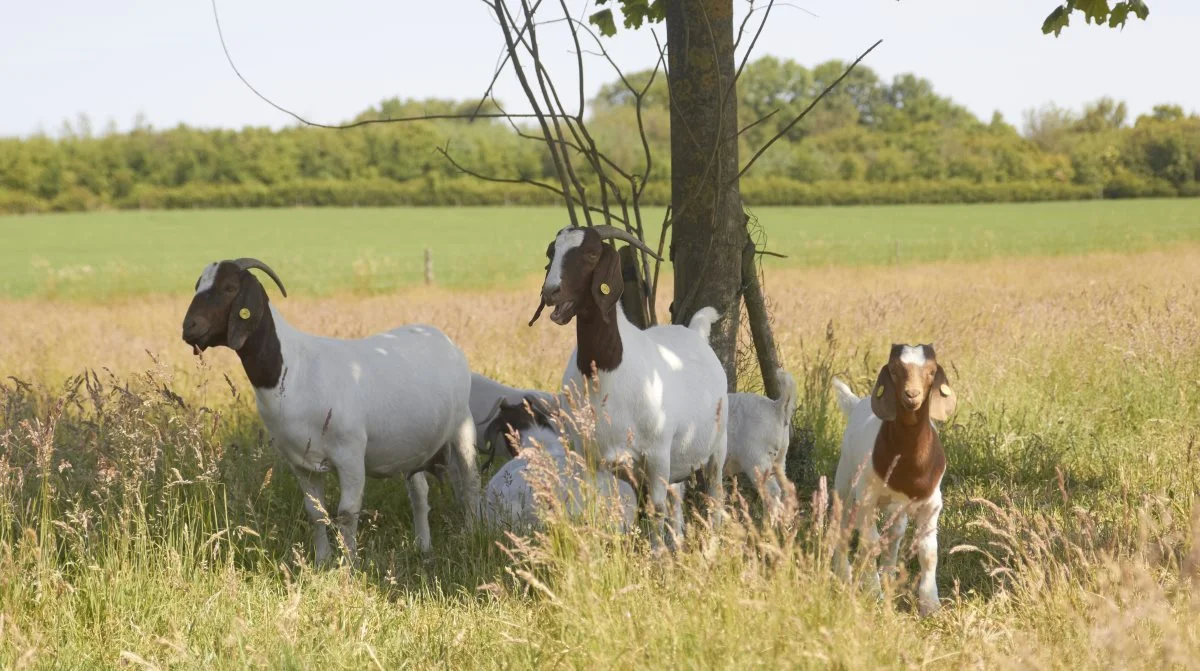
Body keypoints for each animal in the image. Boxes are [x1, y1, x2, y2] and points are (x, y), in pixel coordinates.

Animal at [180, 260, 480, 564]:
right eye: (197, 285)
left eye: (229, 287)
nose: (188, 327)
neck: (295, 369)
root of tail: (442, 337)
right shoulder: (300, 461)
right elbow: (316, 513)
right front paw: (322, 560)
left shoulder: (350, 455)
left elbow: (347, 513)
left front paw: (350, 564)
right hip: (412, 448)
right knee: (419, 492)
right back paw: (423, 545)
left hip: (463, 426)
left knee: (470, 484)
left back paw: (469, 534)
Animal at [530, 226, 724, 552]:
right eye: (550, 252)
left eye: (592, 254)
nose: (551, 292)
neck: (607, 370)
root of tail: (695, 331)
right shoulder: (592, 458)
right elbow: (600, 506)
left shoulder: (656, 454)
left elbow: (654, 509)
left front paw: (656, 556)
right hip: (675, 459)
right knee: (677, 498)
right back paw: (678, 543)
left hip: (715, 447)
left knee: (714, 494)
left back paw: (712, 547)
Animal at [720, 367, 796, 520]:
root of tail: (777, 407)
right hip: (779, 459)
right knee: (785, 490)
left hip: (757, 460)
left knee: (772, 493)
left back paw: (767, 524)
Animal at [835, 343, 955, 619]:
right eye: (893, 370)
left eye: (931, 371)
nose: (912, 395)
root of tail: (857, 404)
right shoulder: (867, 498)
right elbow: (870, 543)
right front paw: (873, 593)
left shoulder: (932, 504)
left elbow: (928, 552)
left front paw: (930, 604)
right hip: (846, 478)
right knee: (843, 522)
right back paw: (844, 571)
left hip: (896, 506)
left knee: (896, 532)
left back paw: (888, 573)